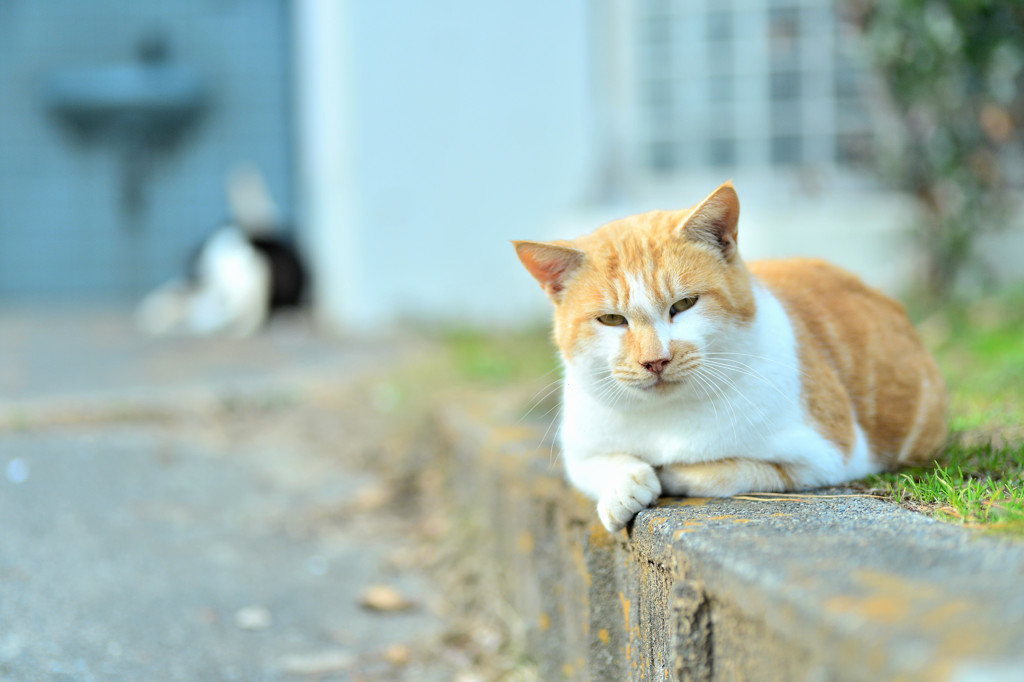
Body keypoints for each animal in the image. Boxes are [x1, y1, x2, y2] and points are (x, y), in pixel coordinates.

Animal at [516, 182, 946, 532]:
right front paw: (625, 485)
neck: (665, 417)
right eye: (611, 319)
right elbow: (602, 464)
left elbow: (720, 471)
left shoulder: (826, 457)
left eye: (684, 304)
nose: (655, 361)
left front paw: (668, 474)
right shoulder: (579, 452)